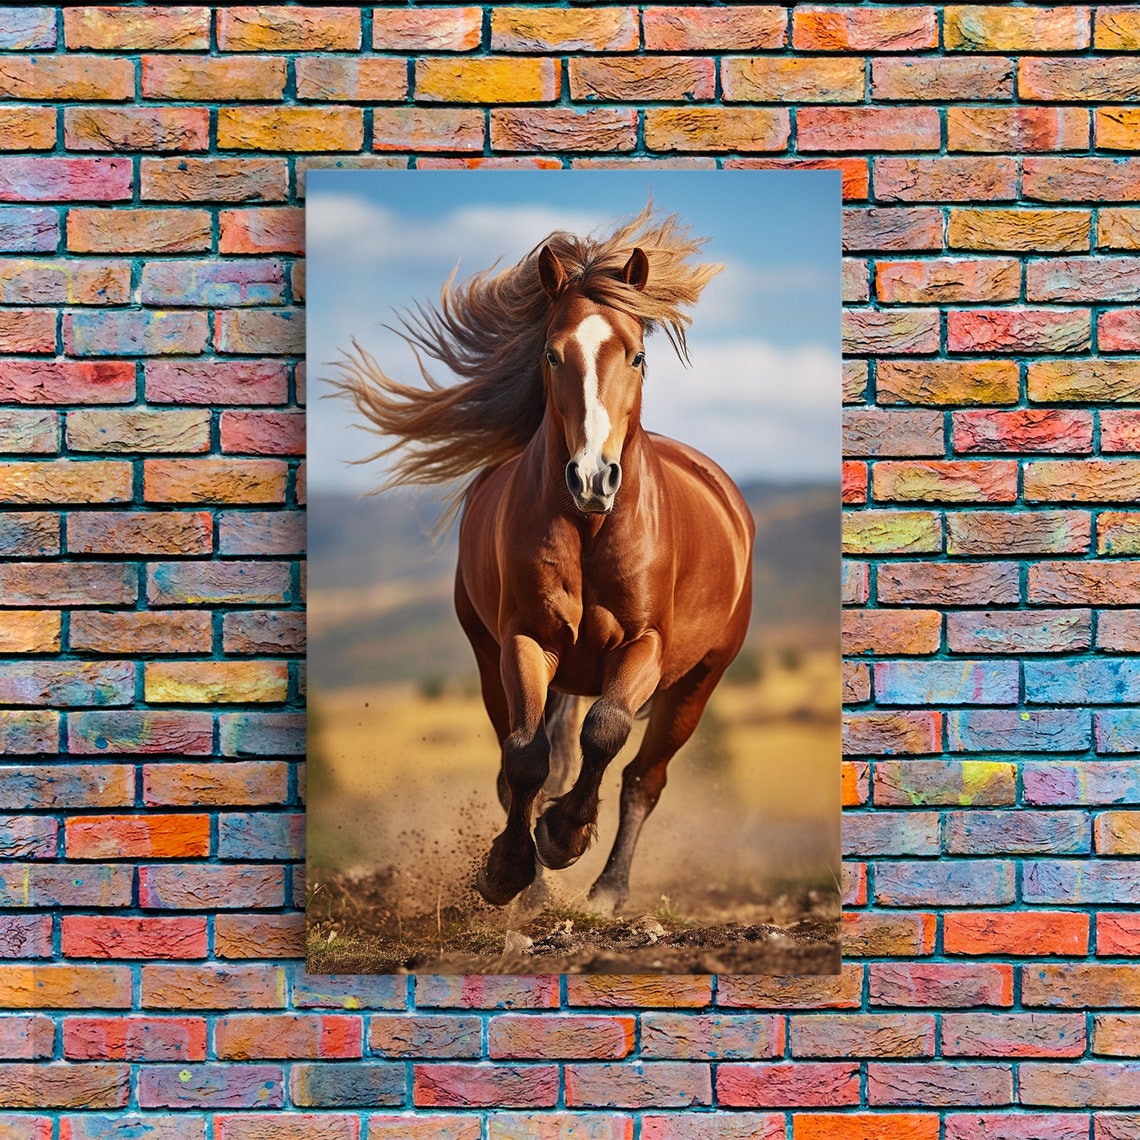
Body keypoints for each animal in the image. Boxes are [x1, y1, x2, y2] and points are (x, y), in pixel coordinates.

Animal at [335, 205, 754, 914]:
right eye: (553, 354)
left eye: (638, 355)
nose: (592, 478)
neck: (590, 531)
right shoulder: (525, 640)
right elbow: (527, 758)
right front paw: (510, 869)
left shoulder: (645, 645)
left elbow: (606, 732)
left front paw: (564, 834)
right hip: (495, 662)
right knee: (527, 762)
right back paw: (536, 886)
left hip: (699, 680)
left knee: (644, 778)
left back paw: (608, 889)